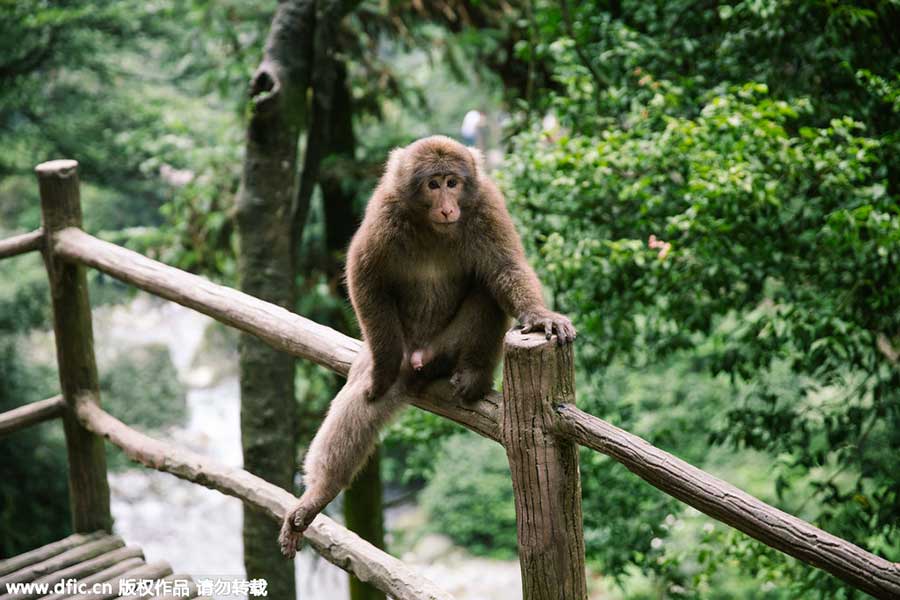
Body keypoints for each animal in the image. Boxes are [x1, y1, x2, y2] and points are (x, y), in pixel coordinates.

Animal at [278, 135, 576, 558]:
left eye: (453, 182)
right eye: (433, 184)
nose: (448, 207)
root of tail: (420, 360)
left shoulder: (486, 203)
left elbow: (505, 267)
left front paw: (540, 316)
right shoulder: (384, 211)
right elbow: (364, 275)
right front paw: (384, 368)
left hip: (445, 348)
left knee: (486, 288)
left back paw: (473, 375)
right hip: (399, 348)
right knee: (356, 404)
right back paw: (318, 495)